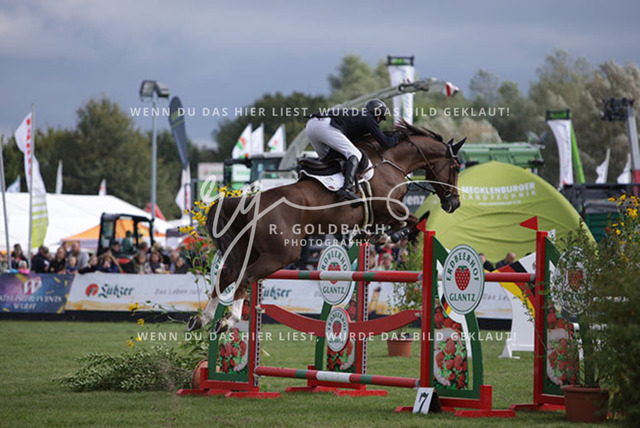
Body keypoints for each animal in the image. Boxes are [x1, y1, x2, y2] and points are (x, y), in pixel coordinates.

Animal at [187, 122, 465, 332]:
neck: (391, 160)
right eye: (455, 167)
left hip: (249, 251)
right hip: (282, 254)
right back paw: (228, 320)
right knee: (244, 276)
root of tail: (248, 203)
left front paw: (375, 237)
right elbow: (412, 221)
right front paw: (389, 237)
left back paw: (203, 319)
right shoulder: (389, 207)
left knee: (227, 275)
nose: (454, 203)